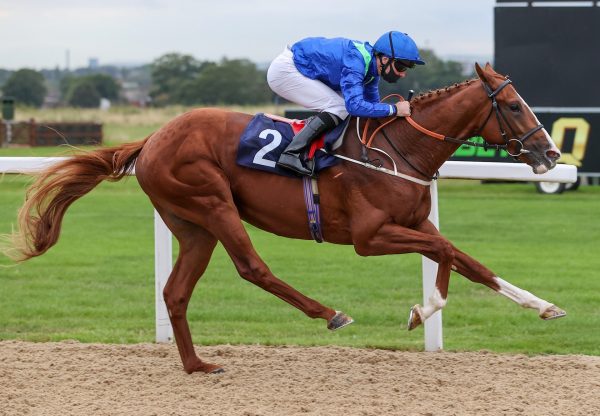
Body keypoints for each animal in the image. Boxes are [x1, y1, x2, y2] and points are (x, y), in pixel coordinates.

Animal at [2, 64, 568, 374]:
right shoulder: (369, 236)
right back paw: (329, 313)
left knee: (176, 292)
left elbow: (466, 259)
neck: (397, 147)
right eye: (513, 106)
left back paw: (197, 365)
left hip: (193, 226)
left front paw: (544, 306)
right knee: (253, 268)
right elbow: (448, 253)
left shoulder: (415, 225)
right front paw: (422, 309)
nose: (552, 154)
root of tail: (153, 137)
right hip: (212, 202)